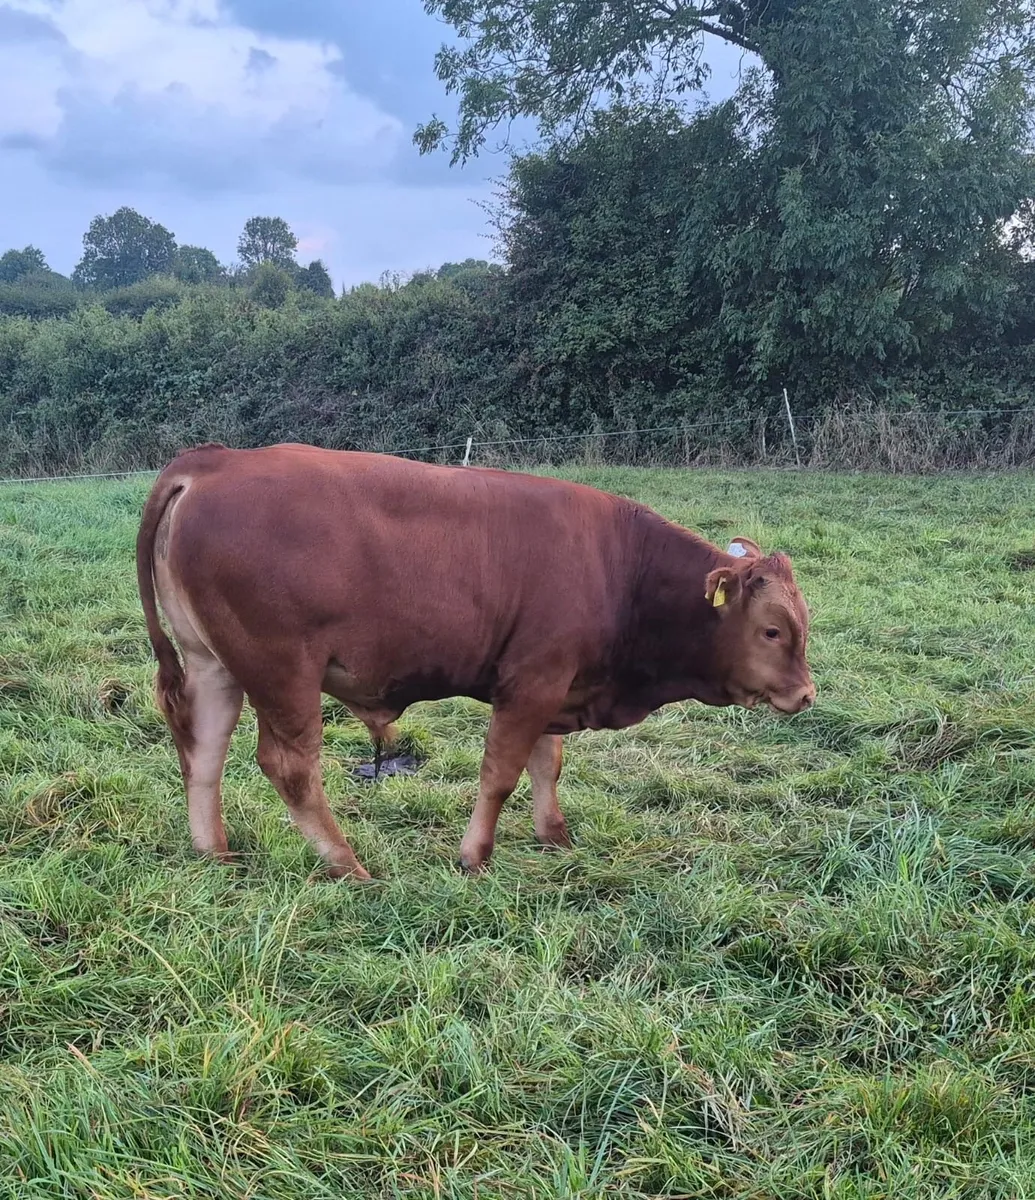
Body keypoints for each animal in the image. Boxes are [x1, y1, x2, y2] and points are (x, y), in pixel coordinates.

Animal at [136, 442, 815, 881]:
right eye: (773, 630)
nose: (806, 695)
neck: (620, 566)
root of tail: (216, 459)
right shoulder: (532, 683)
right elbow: (502, 774)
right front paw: (475, 855)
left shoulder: (556, 686)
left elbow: (547, 764)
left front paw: (554, 836)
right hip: (282, 672)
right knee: (290, 768)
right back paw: (348, 865)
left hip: (214, 664)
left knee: (204, 752)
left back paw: (215, 853)